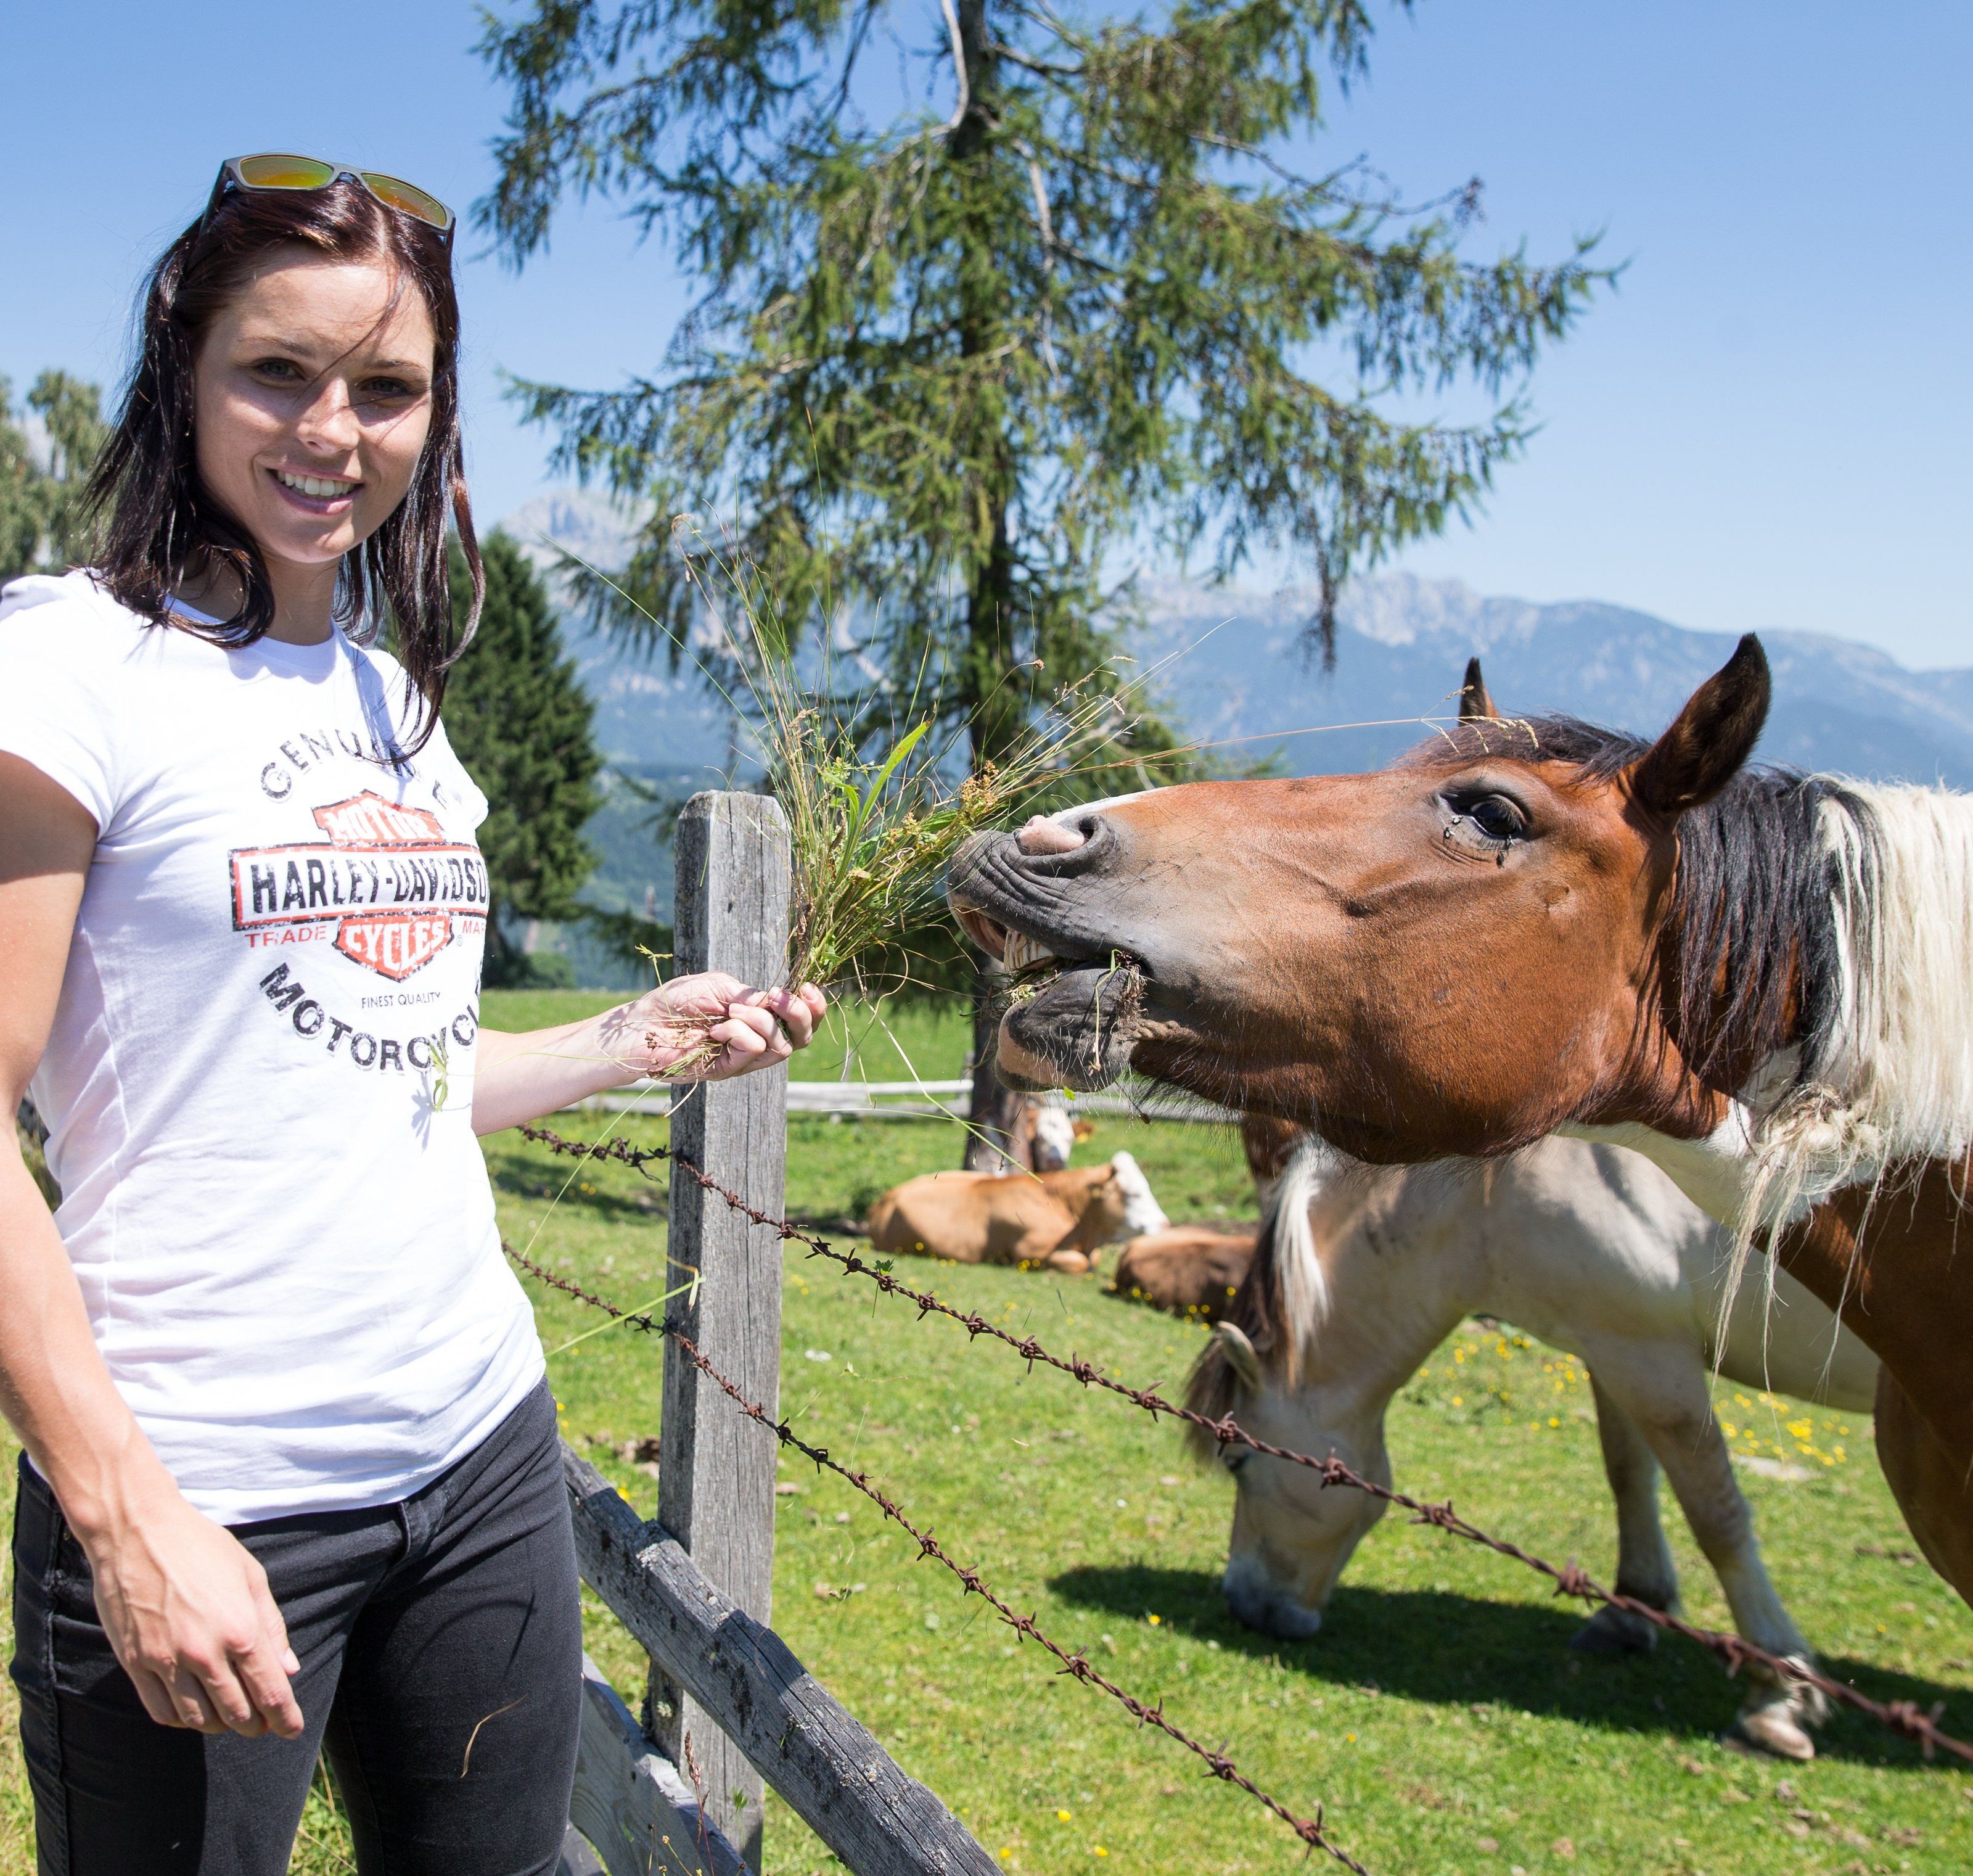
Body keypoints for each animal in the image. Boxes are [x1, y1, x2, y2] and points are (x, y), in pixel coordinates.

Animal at [1176, 1128, 1870, 1759]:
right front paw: (1629, 1611)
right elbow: (1627, 1474)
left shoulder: (1652, 1358)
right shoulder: (1612, 1346)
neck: (1496, 1187)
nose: (1243, 1604)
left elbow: (1716, 1517)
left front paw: (1776, 1690)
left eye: (1237, 1460)